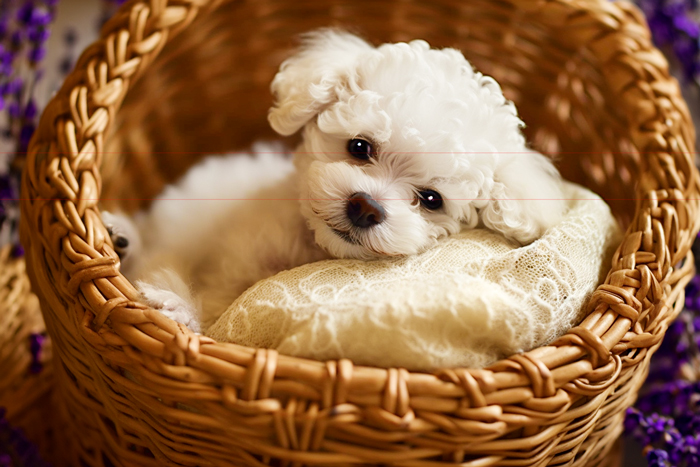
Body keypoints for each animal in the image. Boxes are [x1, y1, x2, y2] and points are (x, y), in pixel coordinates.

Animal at [102, 29, 564, 332]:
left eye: (432, 199)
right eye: (359, 147)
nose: (366, 207)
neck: (312, 247)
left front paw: (179, 307)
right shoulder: (235, 260)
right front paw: (177, 303)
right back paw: (121, 237)